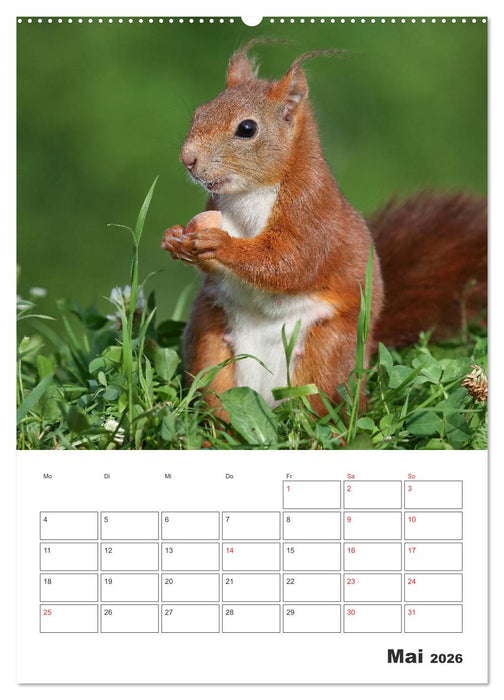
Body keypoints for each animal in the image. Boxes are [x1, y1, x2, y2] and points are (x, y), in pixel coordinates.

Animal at [161, 42, 487, 417]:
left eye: (247, 129)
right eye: (199, 113)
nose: (188, 159)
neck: (250, 194)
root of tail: (267, 397)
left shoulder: (312, 213)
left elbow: (289, 261)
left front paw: (220, 243)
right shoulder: (215, 205)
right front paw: (173, 238)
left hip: (326, 353)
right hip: (211, 341)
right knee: (219, 395)